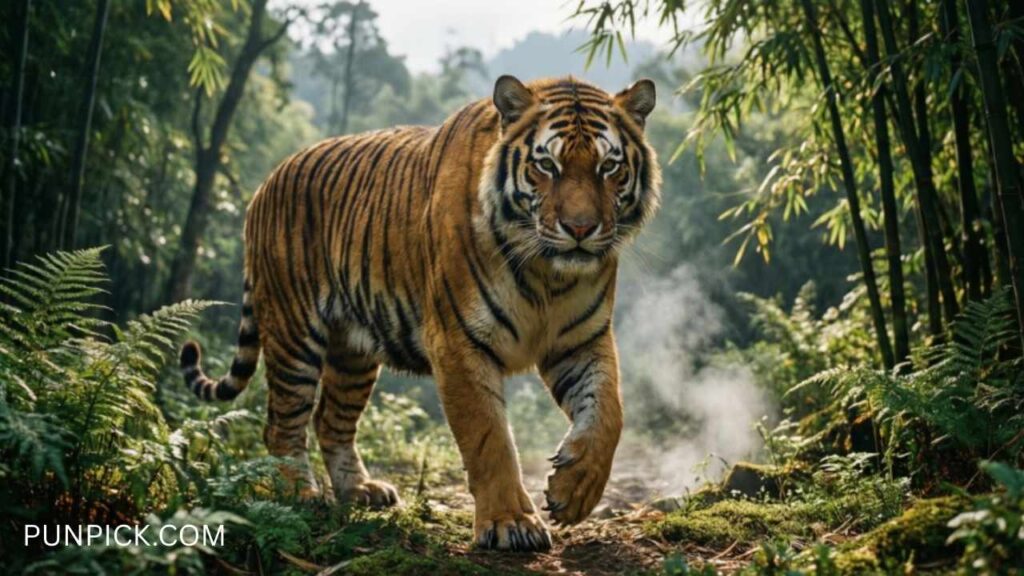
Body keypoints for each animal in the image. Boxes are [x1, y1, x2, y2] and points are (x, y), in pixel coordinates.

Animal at [179, 75, 660, 551]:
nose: (580, 229)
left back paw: (361, 490)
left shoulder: (582, 340)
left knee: (330, 419)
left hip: (352, 354)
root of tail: (265, 183)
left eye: (609, 167)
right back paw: (298, 494)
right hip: (294, 334)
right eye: (547, 166)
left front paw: (574, 491)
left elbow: (608, 414)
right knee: (282, 422)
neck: (548, 274)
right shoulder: (460, 342)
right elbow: (489, 439)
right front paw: (510, 523)